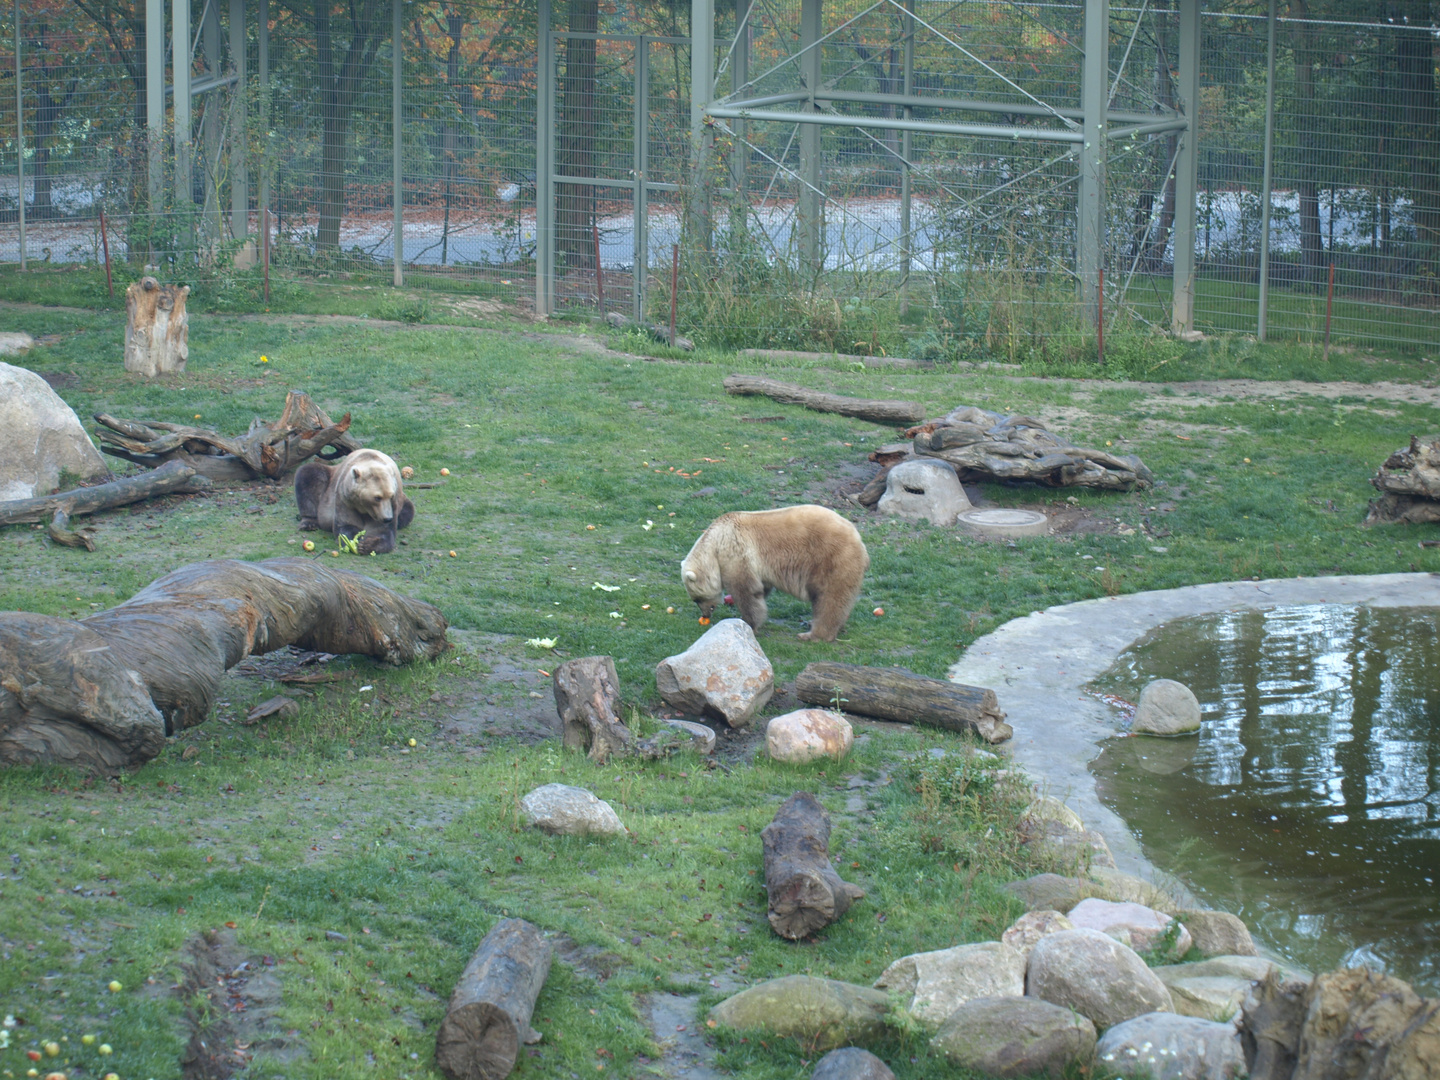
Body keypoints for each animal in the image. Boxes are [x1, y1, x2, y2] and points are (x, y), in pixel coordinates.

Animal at [682, 506, 869, 642]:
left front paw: (748, 622)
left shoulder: (735, 552)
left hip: (831, 560)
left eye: (696, 599)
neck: (714, 542)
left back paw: (813, 634)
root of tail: (860, 541)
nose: (705, 615)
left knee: (830, 599)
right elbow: (761, 589)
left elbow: (746, 591)